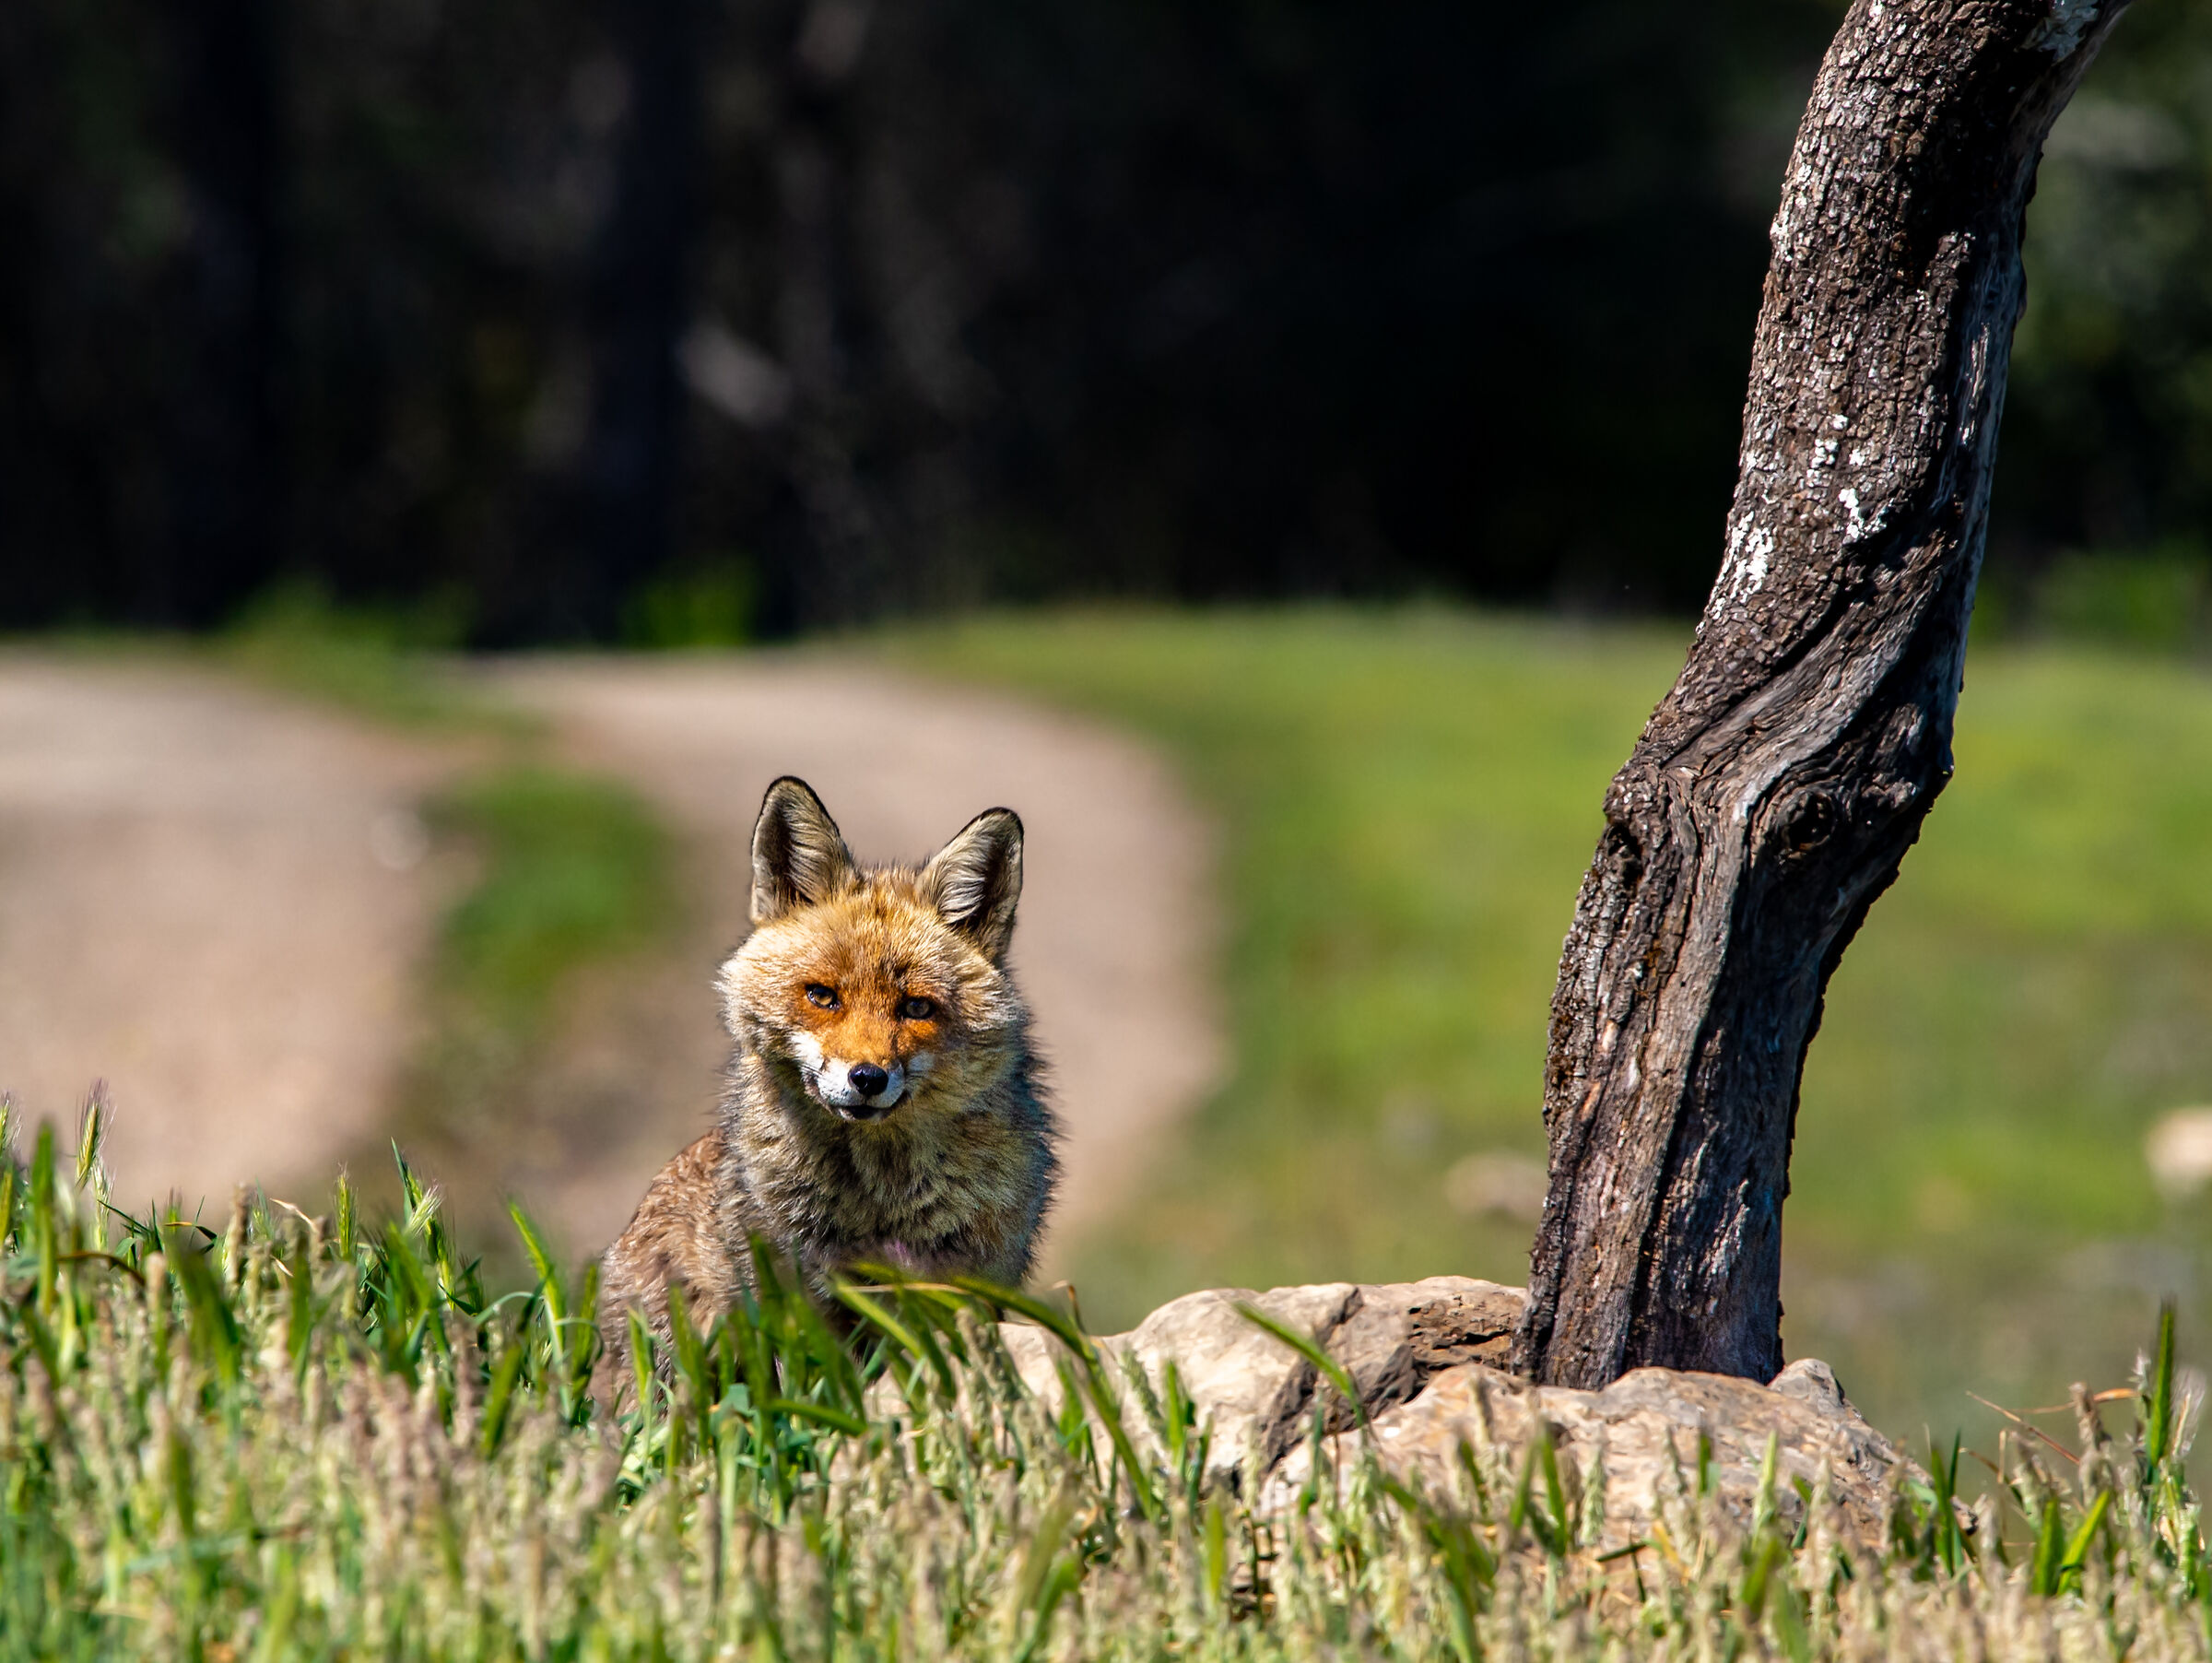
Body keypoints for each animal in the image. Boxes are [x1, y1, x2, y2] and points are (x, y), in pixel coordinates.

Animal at [596, 776, 1059, 1386]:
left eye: (916, 1007)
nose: (867, 1078)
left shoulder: (968, 1287)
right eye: (822, 996)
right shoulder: (799, 1297)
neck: (880, 1203)